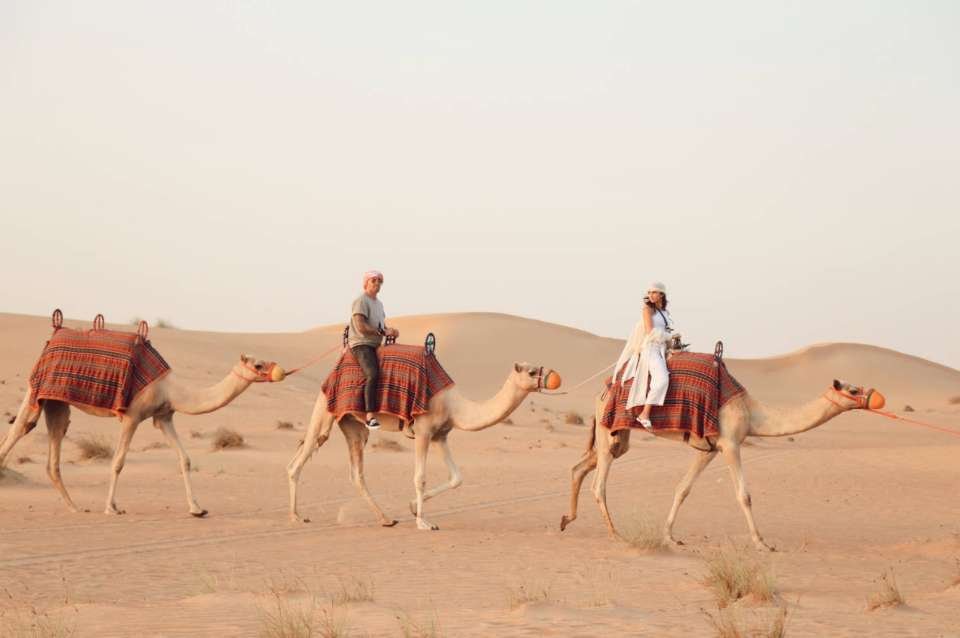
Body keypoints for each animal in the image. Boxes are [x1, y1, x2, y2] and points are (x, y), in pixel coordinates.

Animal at [564, 378, 884, 552]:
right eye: (852, 390)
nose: (873, 396)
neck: (753, 414)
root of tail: (602, 392)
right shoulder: (731, 444)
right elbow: (744, 495)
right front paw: (762, 543)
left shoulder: (710, 448)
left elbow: (683, 489)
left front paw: (670, 537)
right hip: (608, 429)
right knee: (598, 484)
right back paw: (615, 534)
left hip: (619, 437)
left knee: (580, 467)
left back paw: (566, 519)